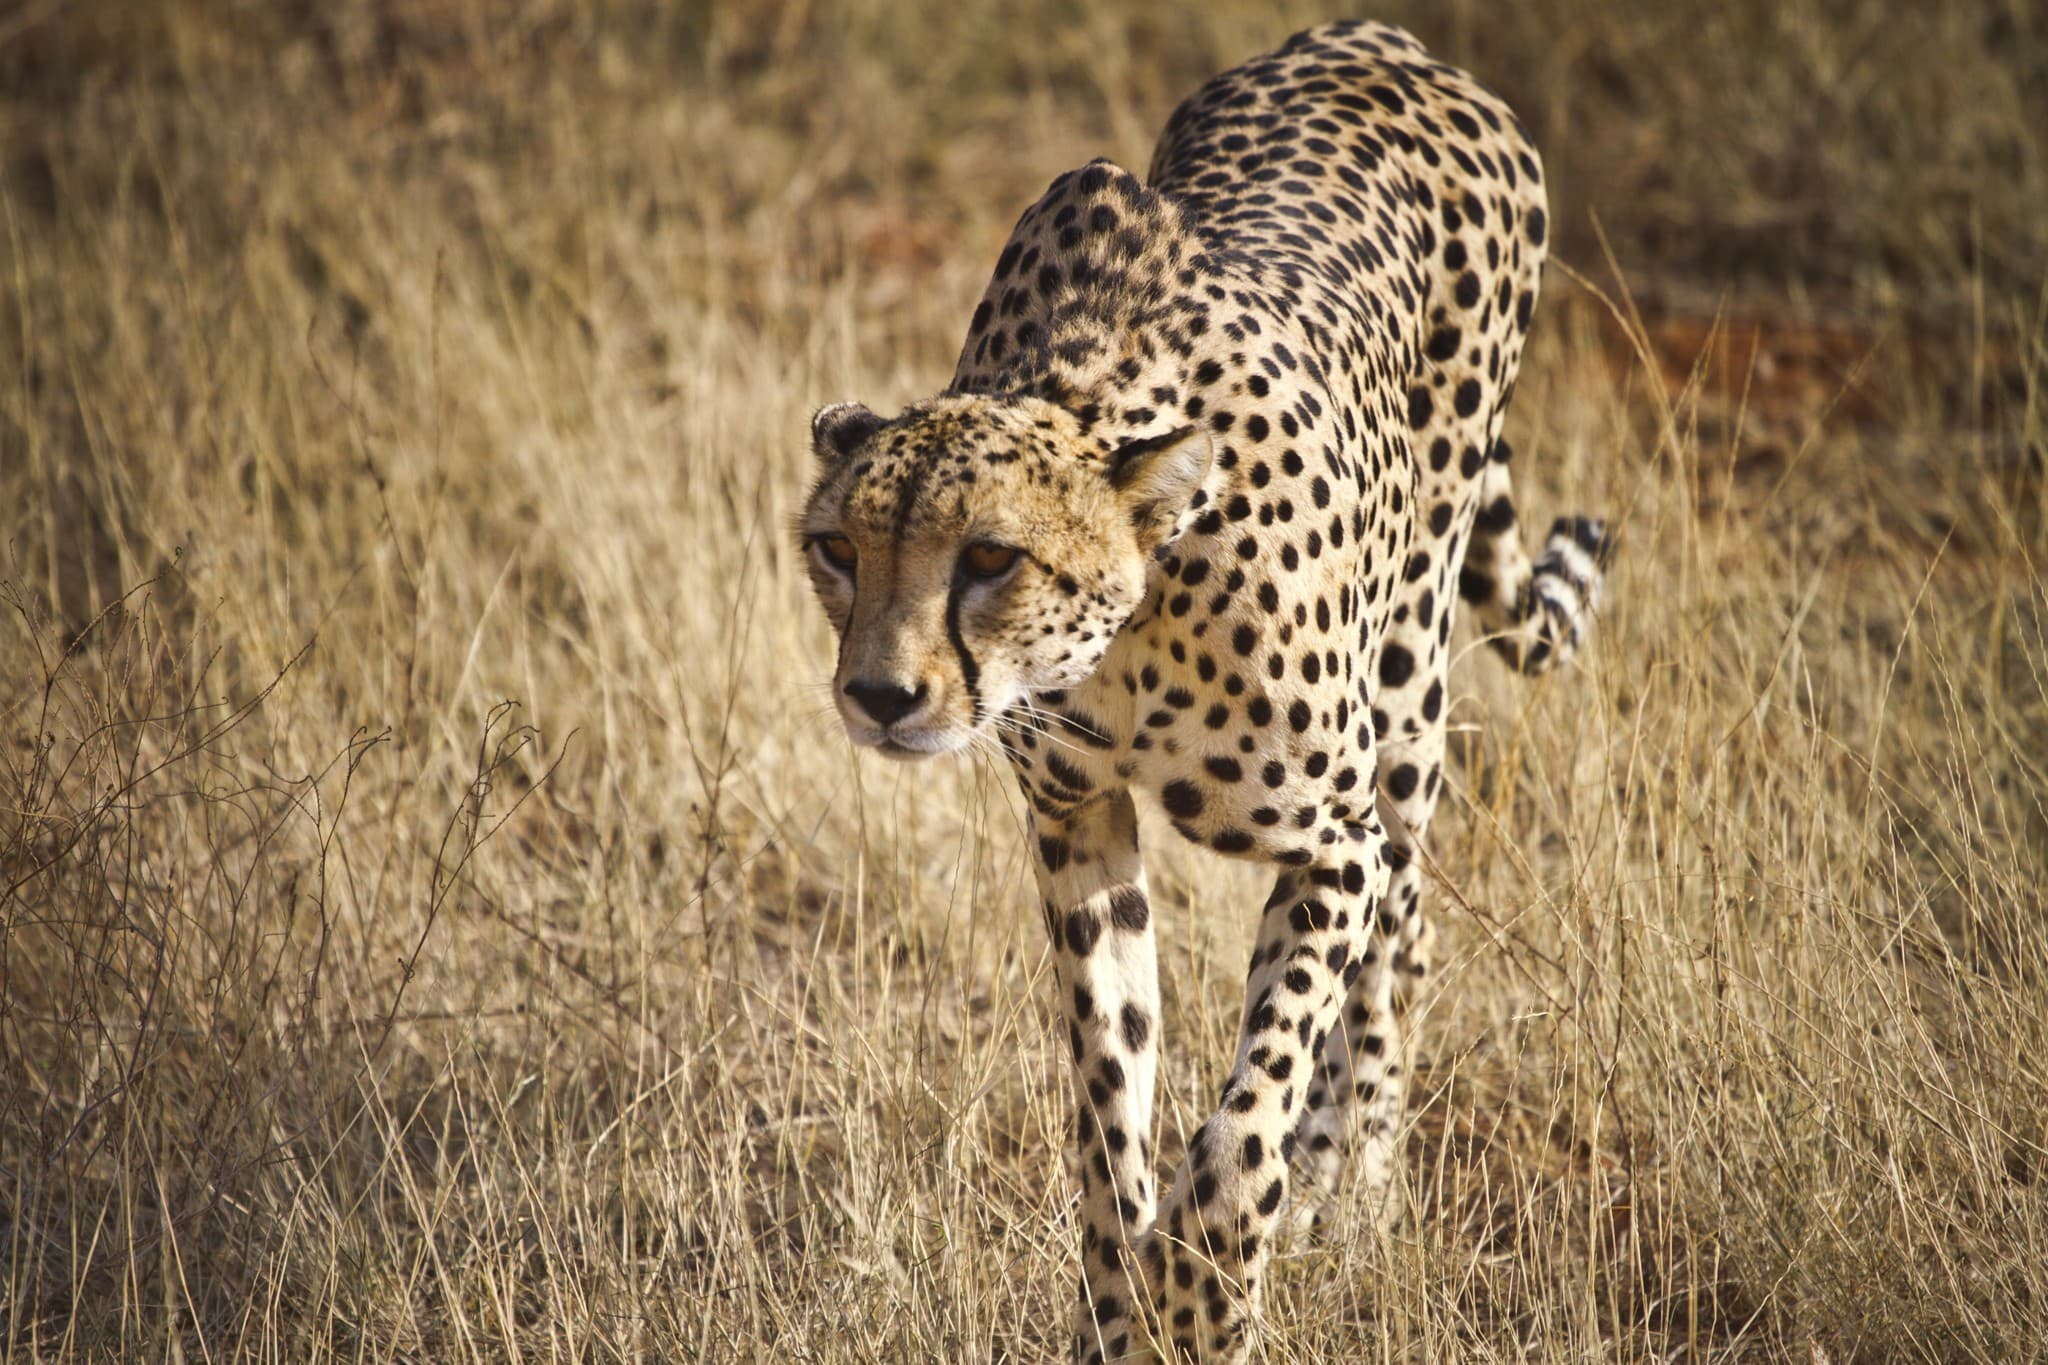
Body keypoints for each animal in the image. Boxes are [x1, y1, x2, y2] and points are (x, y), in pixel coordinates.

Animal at [798, 20, 1608, 1362]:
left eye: (988, 558)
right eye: (836, 551)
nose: (877, 695)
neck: (1124, 633)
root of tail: (1377, 35)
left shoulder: (1331, 840)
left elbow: (1250, 1102)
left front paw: (1211, 1276)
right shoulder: (1076, 822)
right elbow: (1108, 1086)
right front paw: (1123, 1298)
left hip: (1406, 685)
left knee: (1401, 943)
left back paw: (1350, 1196)